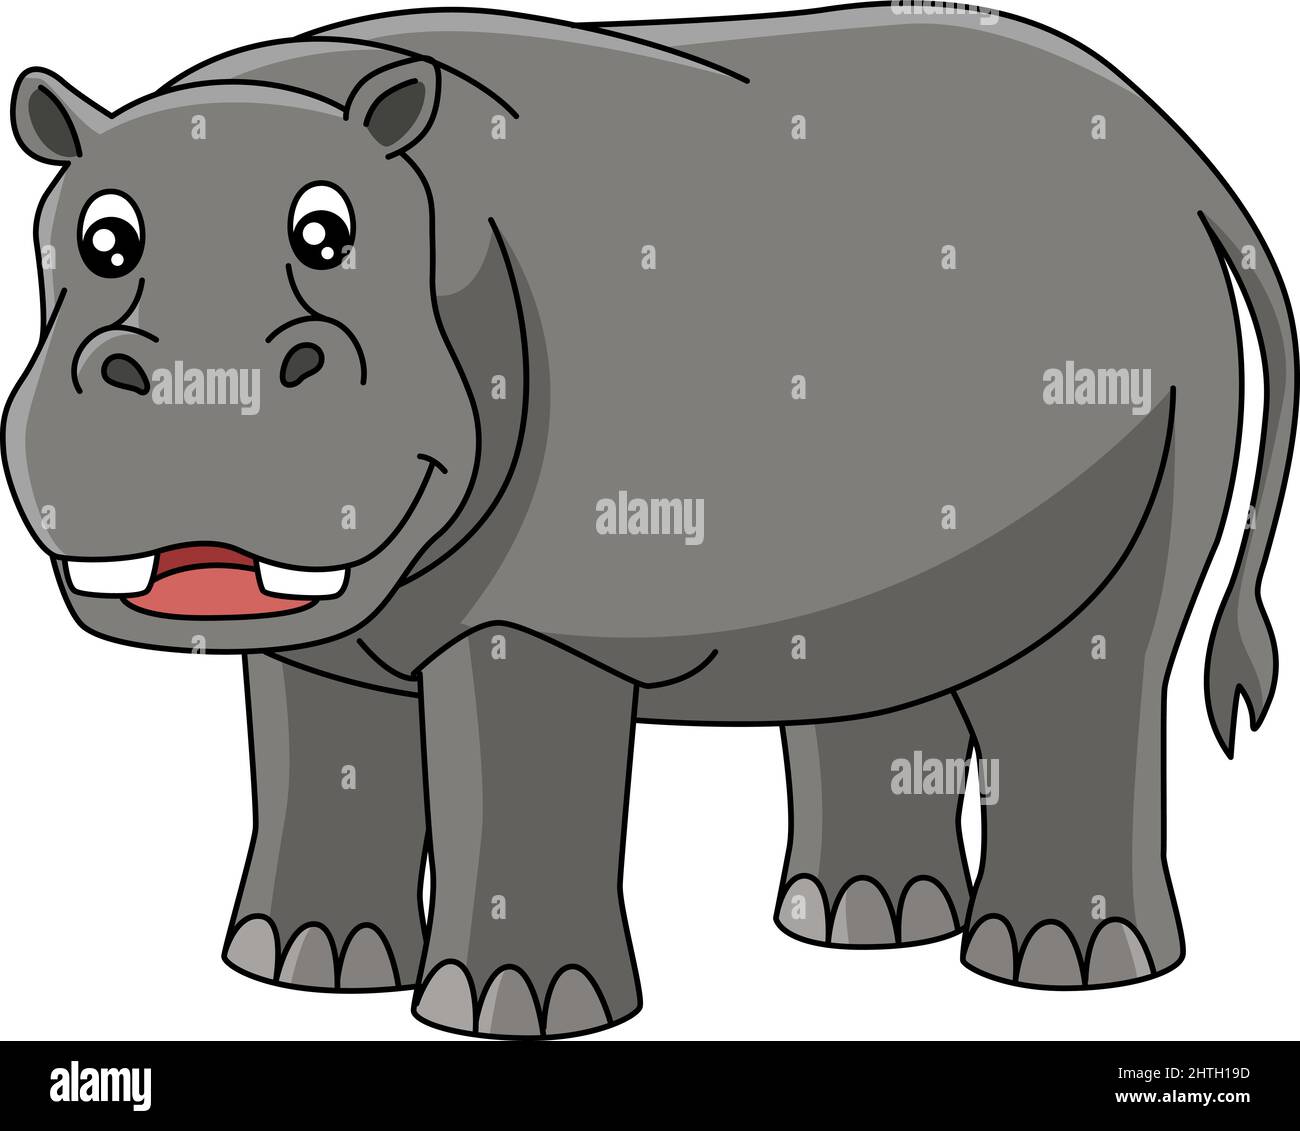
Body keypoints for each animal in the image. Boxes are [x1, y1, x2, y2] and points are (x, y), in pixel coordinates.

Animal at [4, 3, 1295, 1039]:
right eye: (97, 239)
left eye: (328, 235)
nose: (190, 386)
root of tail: (1184, 156)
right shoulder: (321, 634)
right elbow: (323, 764)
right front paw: (300, 970)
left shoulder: (534, 624)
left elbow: (522, 779)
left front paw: (515, 1013)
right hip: (888, 550)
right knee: (883, 662)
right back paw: (855, 924)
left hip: (1160, 439)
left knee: (1096, 671)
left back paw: (1062, 967)